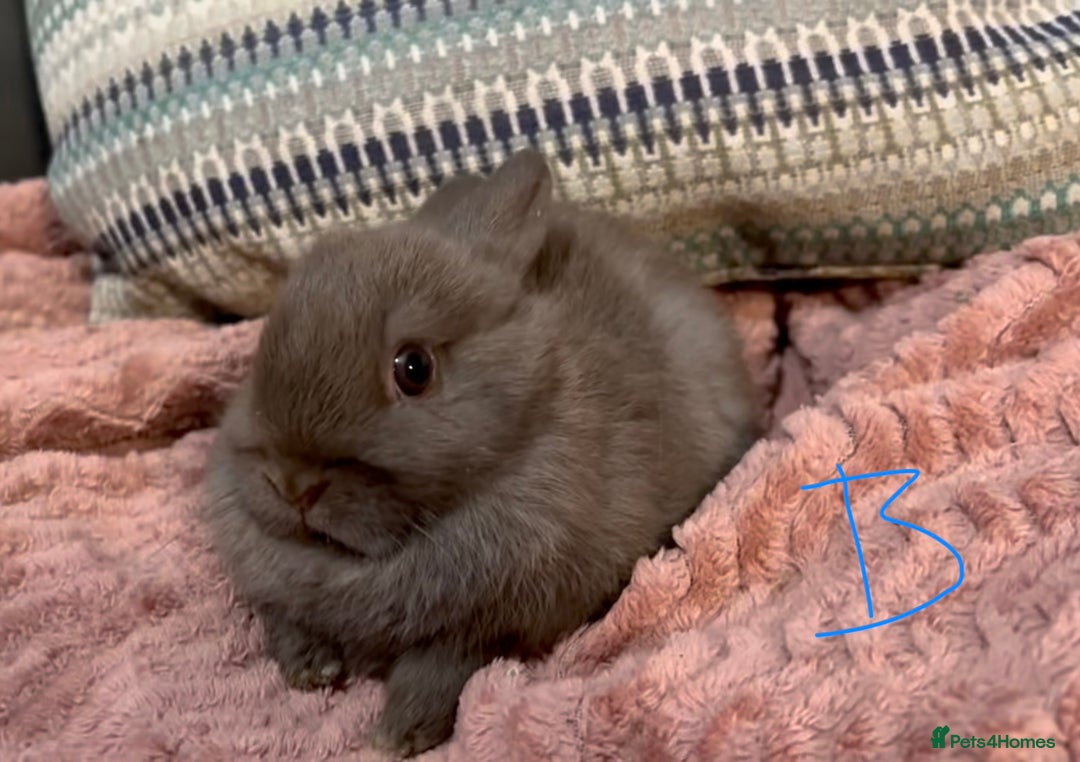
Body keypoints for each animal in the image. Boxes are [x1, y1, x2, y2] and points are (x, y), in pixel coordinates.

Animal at [203, 149, 761, 757]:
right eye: (261, 351)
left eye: (414, 368)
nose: (292, 484)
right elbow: (282, 621)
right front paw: (310, 671)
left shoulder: (493, 624)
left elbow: (440, 671)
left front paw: (397, 737)